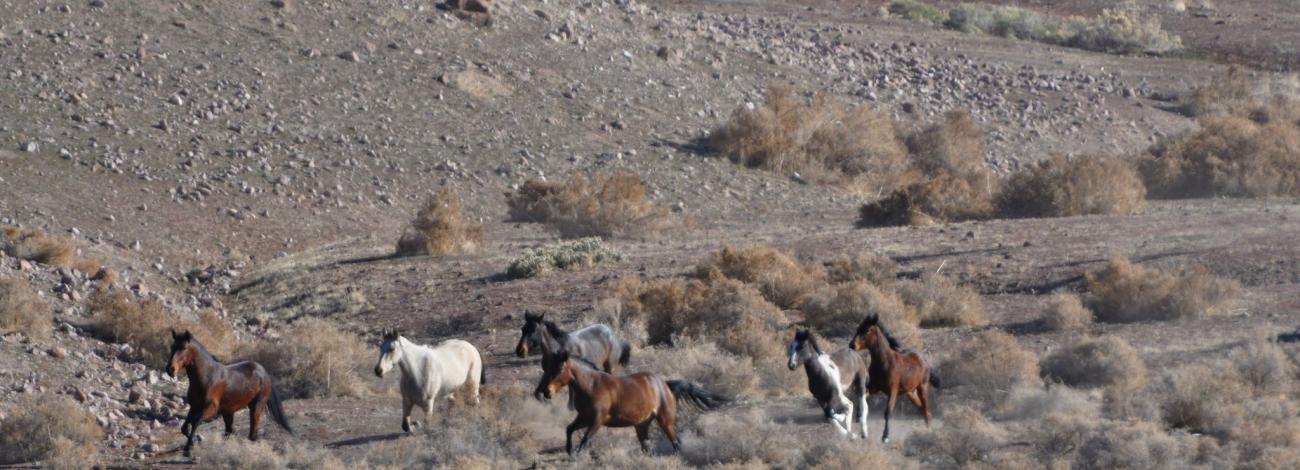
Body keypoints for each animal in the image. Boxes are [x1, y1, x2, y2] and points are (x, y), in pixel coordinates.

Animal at [530, 350, 733, 454]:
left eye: (558, 369)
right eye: (547, 368)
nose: (545, 393)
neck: (591, 385)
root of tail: (665, 384)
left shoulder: (597, 420)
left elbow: (585, 441)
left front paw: (576, 455)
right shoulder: (584, 418)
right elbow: (569, 429)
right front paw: (569, 451)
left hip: (665, 421)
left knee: (676, 443)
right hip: (642, 426)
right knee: (648, 448)